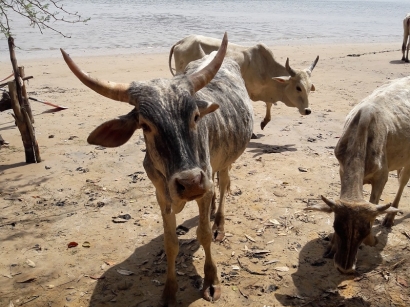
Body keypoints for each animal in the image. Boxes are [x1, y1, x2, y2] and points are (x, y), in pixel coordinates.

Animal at [61, 33, 255, 306]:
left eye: (195, 116)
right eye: (145, 125)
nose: (190, 182)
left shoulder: (203, 187)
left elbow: (203, 234)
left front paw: (211, 280)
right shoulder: (162, 195)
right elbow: (171, 242)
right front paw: (169, 292)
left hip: (226, 162)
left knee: (224, 184)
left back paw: (219, 223)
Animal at [168, 34, 318, 131]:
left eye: (309, 88)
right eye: (298, 88)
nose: (307, 110)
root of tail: (181, 41)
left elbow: (269, 104)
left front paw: (264, 122)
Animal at [304, 77, 410, 274]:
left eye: (365, 230)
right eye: (336, 226)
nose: (344, 268)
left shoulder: (382, 176)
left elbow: (375, 206)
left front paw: (372, 240)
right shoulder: (342, 168)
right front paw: (331, 246)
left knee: (403, 180)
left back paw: (390, 218)